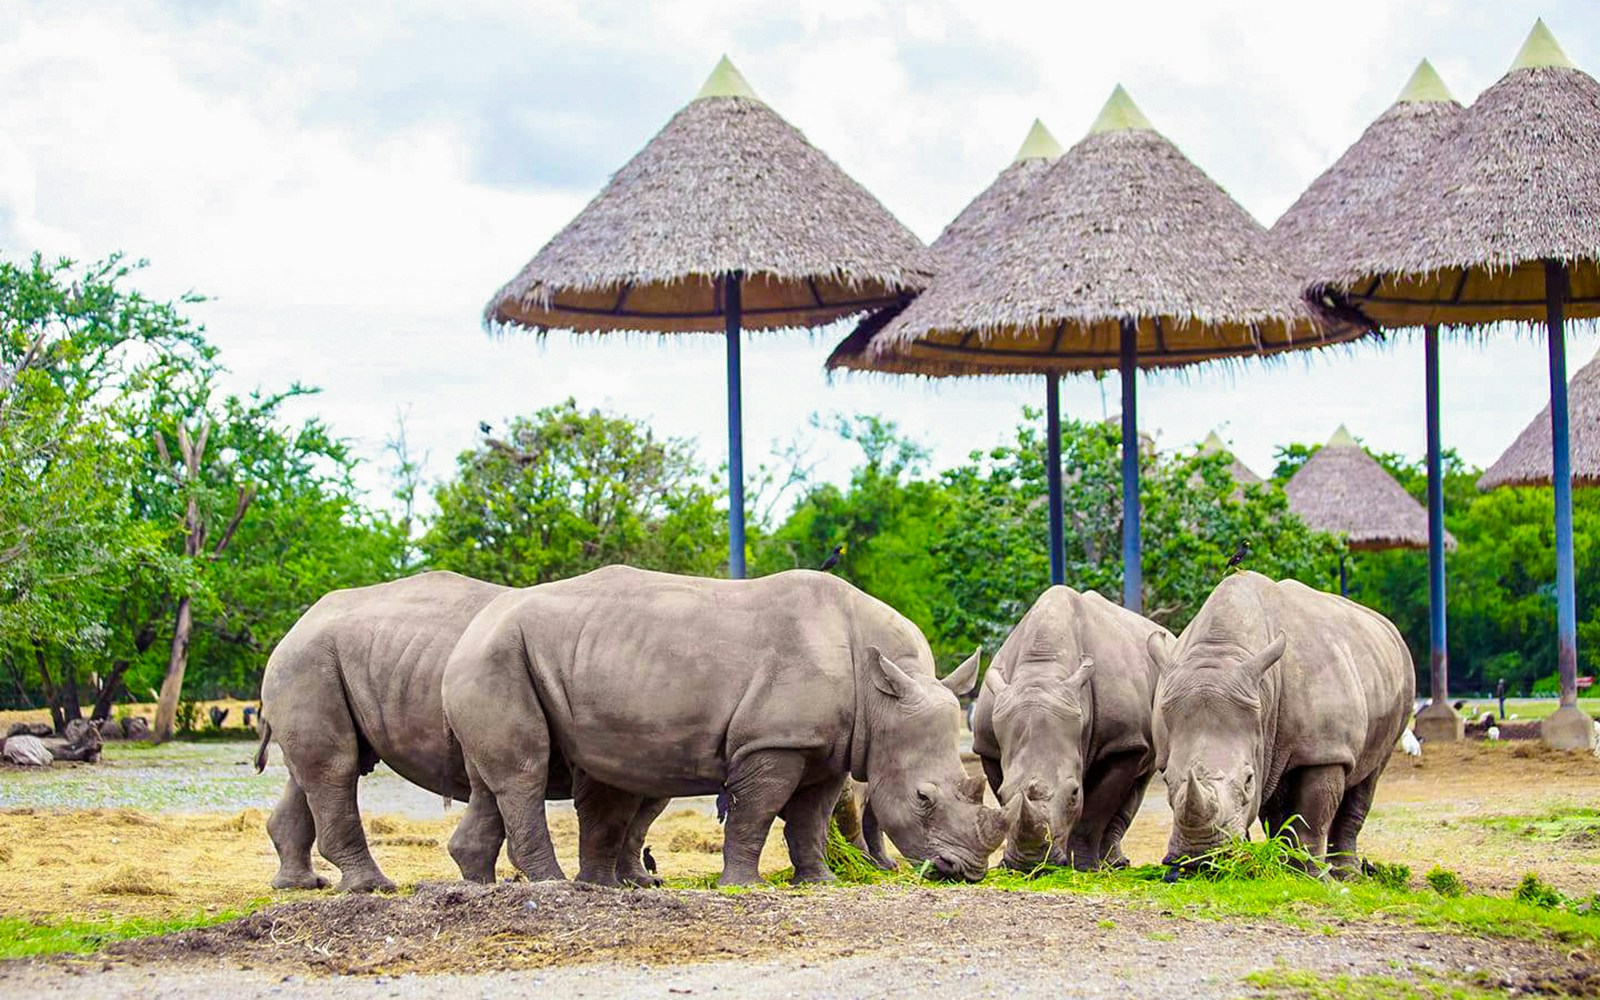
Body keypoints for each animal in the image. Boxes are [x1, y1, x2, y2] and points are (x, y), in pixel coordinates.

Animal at [255, 571, 666, 892]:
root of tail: (298, 624)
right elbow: (621, 811)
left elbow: (641, 816)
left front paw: (640, 882)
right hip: (309, 662)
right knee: (337, 768)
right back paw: (371, 887)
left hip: (319, 662)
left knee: (315, 773)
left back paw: (300, 885)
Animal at [443, 566, 1005, 886]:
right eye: (922, 799)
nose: (967, 873)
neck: (881, 697)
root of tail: (472, 628)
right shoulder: (774, 741)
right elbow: (758, 813)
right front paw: (742, 887)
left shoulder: (829, 748)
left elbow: (810, 818)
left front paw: (818, 882)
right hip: (498, 656)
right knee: (526, 771)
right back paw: (554, 886)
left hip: (500, 659)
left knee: (493, 779)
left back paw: (482, 887)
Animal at [971, 586, 1172, 870]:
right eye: (1003, 792)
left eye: (1074, 793)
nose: (1030, 863)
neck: (1042, 671)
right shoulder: (987, 745)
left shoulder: (1121, 742)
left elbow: (1094, 811)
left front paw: (1083, 867)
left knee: (1140, 781)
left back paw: (1115, 864)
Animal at [1151, 572, 1414, 875]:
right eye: (1166, 780)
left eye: (1248, 780)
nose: (1200, 859)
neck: (1222, 652)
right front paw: (1270, 866)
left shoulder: (1325, 750)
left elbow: (1313, 815)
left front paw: (1310, 876)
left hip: (1403, 678)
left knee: (1370, 775)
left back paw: (1347, 874)